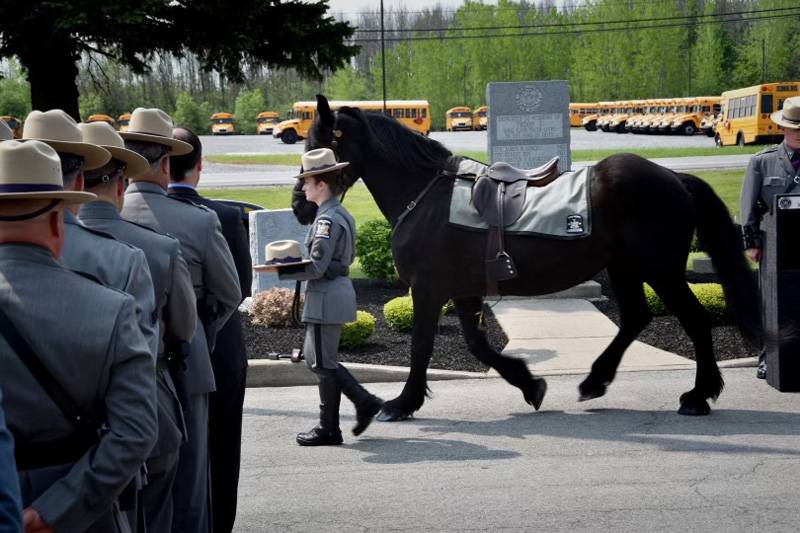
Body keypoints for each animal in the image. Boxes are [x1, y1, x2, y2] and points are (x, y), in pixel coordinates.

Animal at [296, 94, 764, 420]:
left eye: (319, 147)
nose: (301, 205)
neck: (426, 195)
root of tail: (675, 178)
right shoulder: (462, 290)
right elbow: (478, 346)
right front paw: (529, 384)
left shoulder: (429, 289)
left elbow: (422, 346)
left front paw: (402, 403)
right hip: (625, 266)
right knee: (635, 317)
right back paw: (595, 381)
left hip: (660, 269)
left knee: (695, 320)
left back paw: (698, 395)